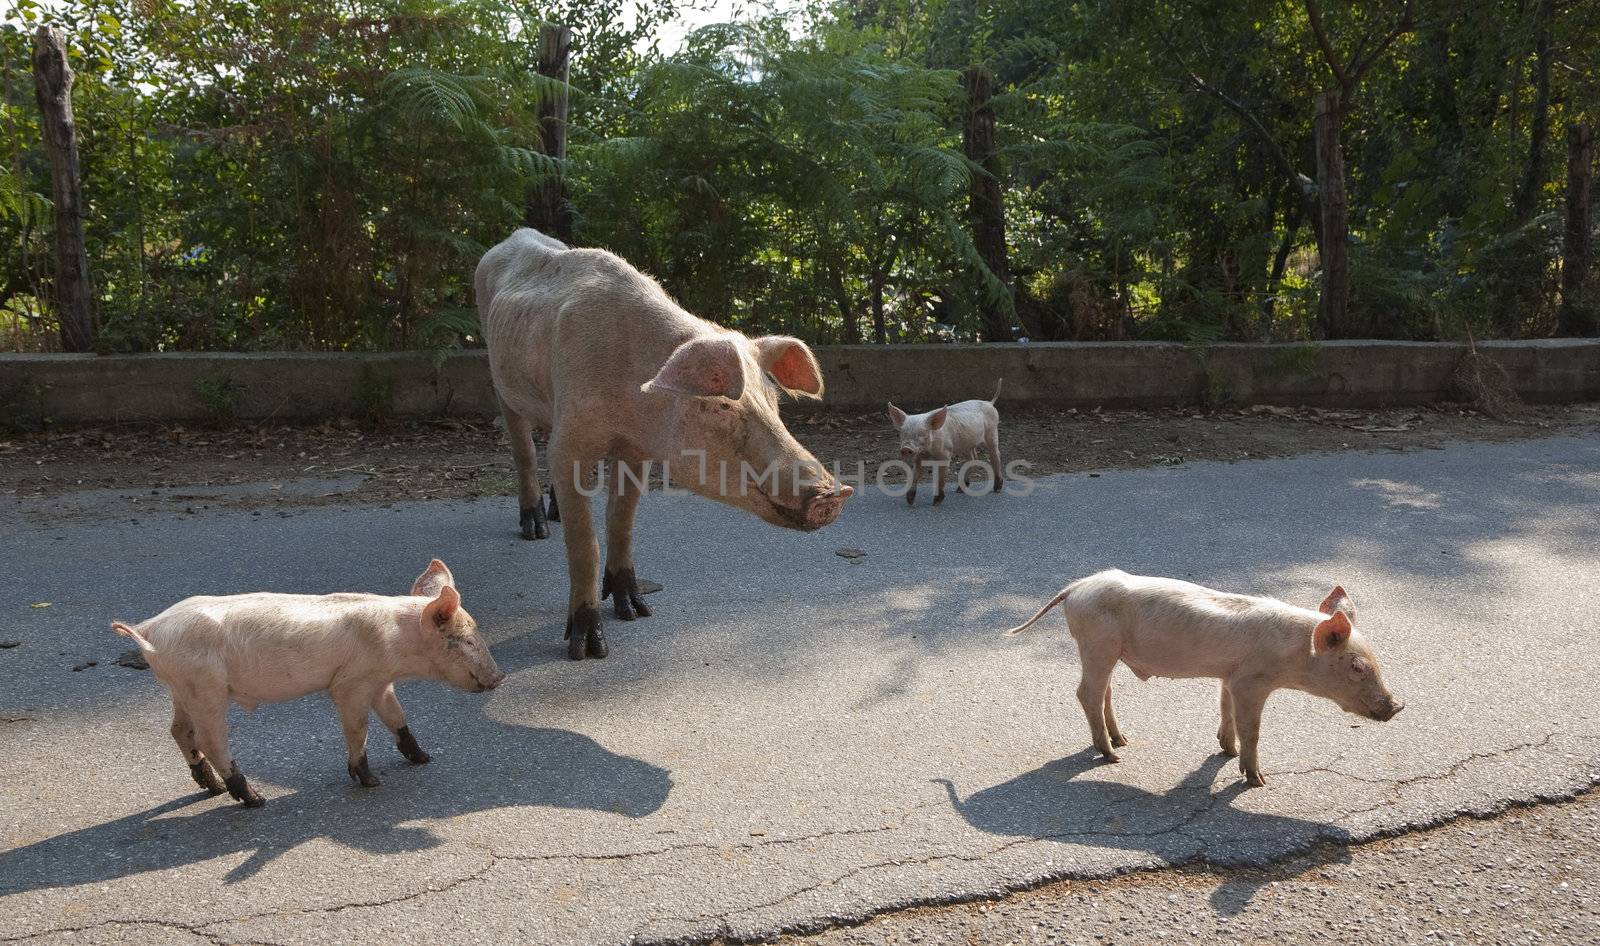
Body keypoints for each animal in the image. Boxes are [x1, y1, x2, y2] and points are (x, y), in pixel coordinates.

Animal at [473, 227, 851, 659]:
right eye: (721, 405)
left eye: (773, 401)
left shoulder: (638, 450)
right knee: (523, 448)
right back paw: (537, 529)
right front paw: (589, 651)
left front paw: (637, 612)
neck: (632, 400)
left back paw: (554, 516)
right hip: (499, 378)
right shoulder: (573, 442)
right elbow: (585, 543)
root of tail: (511, 238)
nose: (833, 493)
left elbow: (622, 520)